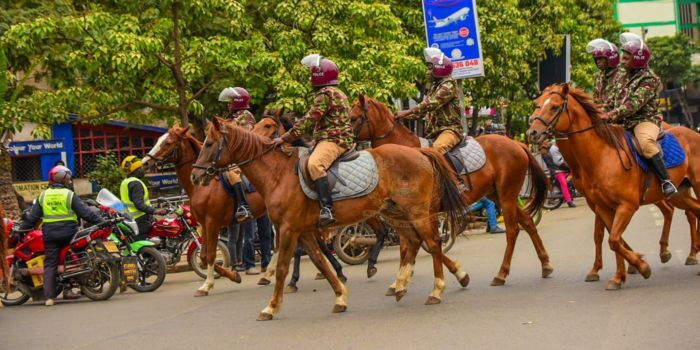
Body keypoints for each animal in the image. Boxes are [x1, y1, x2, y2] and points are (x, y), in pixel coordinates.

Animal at [191, 119, 474, 320]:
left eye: (208, 144)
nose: (196, 175)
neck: (278, 174)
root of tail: (421, 152)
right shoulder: (304, 231)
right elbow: (321, 263)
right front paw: (340, 297)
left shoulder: (287, 229)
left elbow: (282, 267)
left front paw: (271, 307)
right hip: (397, 213)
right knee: (415, 242)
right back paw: (404, 285)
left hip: (417, 212)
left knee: (433, 243)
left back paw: (436, 290)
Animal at [350, 94, 552, 286]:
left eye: (353, 118)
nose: (347, 143)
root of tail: (517, 144)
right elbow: (411, 244)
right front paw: (403, 276)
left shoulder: (424, 212)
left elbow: (429, 242)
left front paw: (457, 274)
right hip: (497, 194)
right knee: (528, 222)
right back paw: (545, 264)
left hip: (507, 194)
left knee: (512, 230)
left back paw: (501, 274)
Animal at [528, 83, 700, 288]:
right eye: (538, 103)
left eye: (554, 107)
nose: (532, 132)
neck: (601, 156)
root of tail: (693, 133)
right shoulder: (601, 205)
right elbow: (609, 237)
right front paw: (620, 274)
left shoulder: (626, 205)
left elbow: (612, 238)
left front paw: (640, 266)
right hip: (678, 193)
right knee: (691, 211)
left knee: (685, 212)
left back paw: (686, 254)